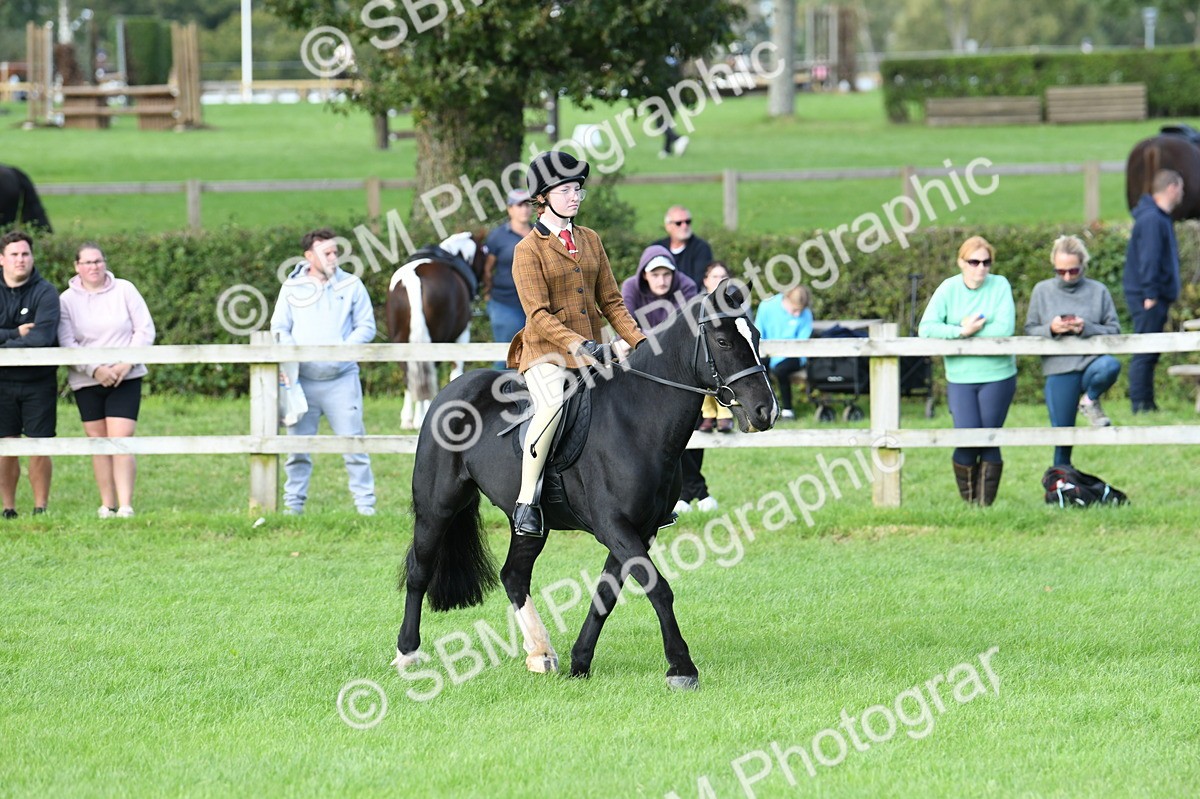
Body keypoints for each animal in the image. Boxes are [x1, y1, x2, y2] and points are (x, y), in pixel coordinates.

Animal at [385, 231, 488, 429]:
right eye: (484, 252)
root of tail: (414, 280)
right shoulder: (462, 336)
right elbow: (456, 371)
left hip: (401, 340)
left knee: (409, 376)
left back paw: (409, 419)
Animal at [391, 281, 778, 689]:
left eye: (756, 336)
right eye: (722, 341)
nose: (765, 411)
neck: (637, 418)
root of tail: (451, 391)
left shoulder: (640, 529)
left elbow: (606, 593)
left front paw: (580, 662)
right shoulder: (614, 526)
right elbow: (658, 587)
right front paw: (681, 668)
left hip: (529, 522)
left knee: (514, 575)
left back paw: (540, 653)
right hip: (437, 507)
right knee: (419, 571)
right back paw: (407, 653)